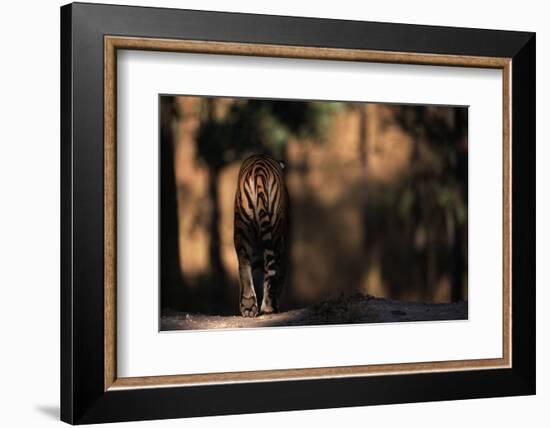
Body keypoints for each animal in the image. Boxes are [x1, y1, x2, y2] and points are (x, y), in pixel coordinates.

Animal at [234, 155, 292, 318]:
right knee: (270, 270)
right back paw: (268, 307)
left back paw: (248, 307)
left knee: (244, 264)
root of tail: (259, 169)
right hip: (275, 234)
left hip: (242, 229)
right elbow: (278, 277)